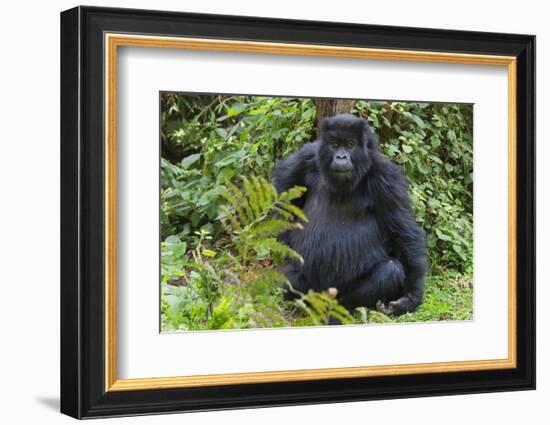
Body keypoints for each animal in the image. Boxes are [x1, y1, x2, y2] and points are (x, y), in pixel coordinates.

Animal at [274, 113, 430, 314]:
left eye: (350, 144)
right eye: (334, 144)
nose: (341, 156)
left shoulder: (388, 177)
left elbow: (405, 233)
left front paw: (410, 297)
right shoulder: (307, 156)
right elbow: (282, 187)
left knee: (390, 270)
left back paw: (341, 307)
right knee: (288, 280)